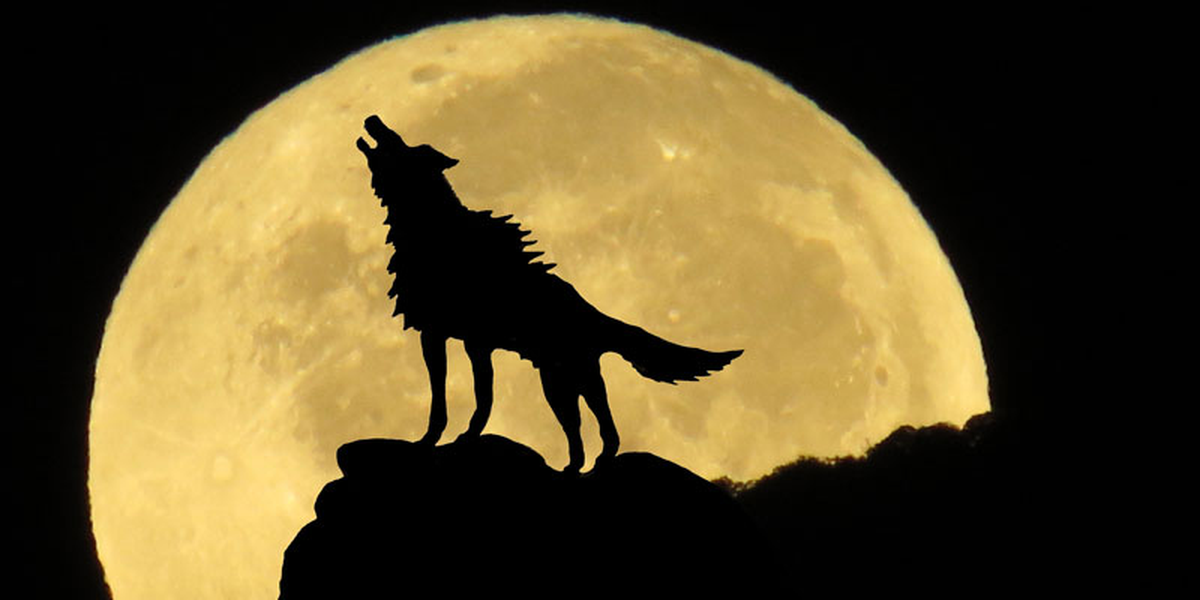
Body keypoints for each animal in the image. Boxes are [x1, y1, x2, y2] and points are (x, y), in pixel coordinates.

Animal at [356, 115, 742, 473]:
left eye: (397, 141)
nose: (373, 118)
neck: (431, 229)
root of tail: (595, 314)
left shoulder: (435, 333)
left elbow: (445, 400)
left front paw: (429, 442)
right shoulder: (474, 343)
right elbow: (483, 398)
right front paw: (463, 438)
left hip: (559, 381)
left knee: (588, 426)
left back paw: (579, 468)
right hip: (573, 380)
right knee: (600, 425)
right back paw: (585, 466)